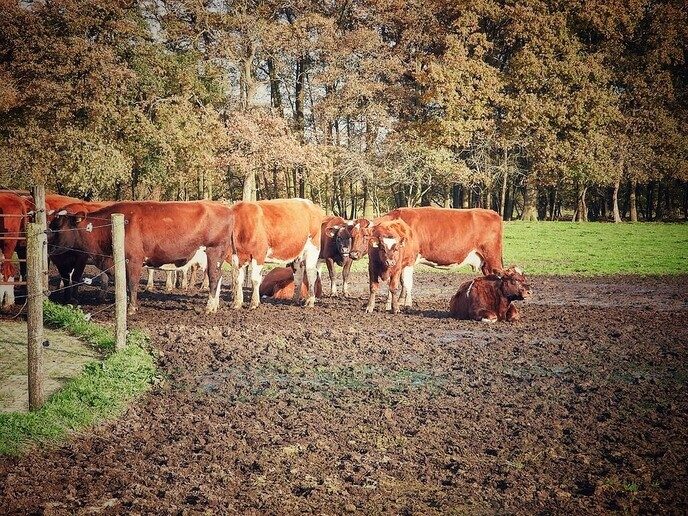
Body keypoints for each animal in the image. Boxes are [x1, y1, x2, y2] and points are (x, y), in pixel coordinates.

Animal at [47, 201, 235, 314]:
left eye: (58, 227)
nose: (48, 247)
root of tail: (224, 207)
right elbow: (122, 283)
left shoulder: (134, 259)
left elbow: (132, 283)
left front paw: (131, 308)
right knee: (218, 277)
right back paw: (215, 305)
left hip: (214, 250)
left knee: (213, 277)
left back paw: (209, 307)